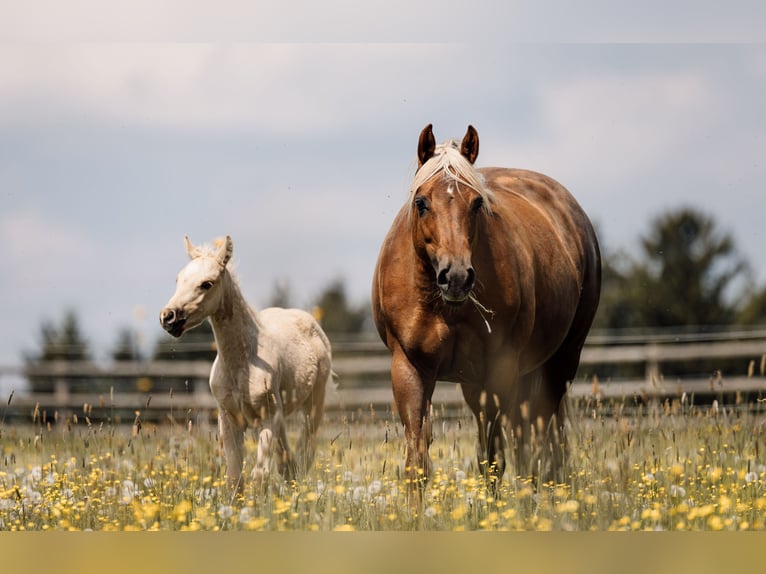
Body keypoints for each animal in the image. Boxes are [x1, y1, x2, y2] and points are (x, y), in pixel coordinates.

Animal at [160, 235, 332, 491]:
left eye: (207, 284)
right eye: (178, 279)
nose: (168, 317)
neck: (242, 364)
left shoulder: (267, 419)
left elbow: (259, 475)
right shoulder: (229, 420)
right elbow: (234, 477)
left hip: (314, 403)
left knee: (304, 452)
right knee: (287, 462)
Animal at [372, 124, 601, 482]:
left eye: (477, 203)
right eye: (422, 202)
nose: (456, 276)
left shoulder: (498, 371)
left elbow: (493, 460)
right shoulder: (409, 368)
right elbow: (417, 461)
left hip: (560, 362)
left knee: (541, 440)